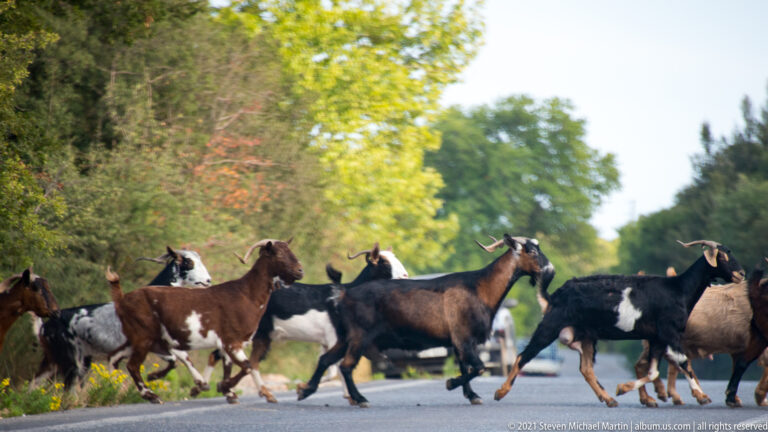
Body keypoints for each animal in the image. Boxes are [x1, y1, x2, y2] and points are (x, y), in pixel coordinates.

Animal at [32, 247, 212, 389]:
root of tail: (45, 327)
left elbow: (183, 357)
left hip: (58, 358)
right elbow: (174, 359)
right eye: (188, 262)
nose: (208, 280)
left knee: (36, 382)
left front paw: (201, 383)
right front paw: (152, 377)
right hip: (70, 359)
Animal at [107, 239, 303, 404]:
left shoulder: (231, 342)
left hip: (137, 338)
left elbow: (234, 366)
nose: (300, 271)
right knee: (132, 365)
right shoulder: (232, 340)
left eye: (290, 250)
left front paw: (229, 392)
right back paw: (151, 395)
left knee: (115, 358)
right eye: (278, 254)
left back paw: (117, 386)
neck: (246, 294)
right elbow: (247, 366)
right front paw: (223, 387)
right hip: (143, 336)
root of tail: (122, 299)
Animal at [201, 243, 408, 403]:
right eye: (383, 262)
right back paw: (218, 388)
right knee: (228, 355)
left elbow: (332, 368)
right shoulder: (333, 338)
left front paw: (347, 396)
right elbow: (333, 369)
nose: (405, 276)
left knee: (235, 358)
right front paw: (304, 387)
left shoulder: (327, 341)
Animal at [296, 234, 555, 407]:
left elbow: (466, 366)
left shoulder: (458, 341)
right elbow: (478, 367)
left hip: (345, 336)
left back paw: (305, 389)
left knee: (326, 359)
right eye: (531, 251)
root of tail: (344, 294)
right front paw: (451, 384)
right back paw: (360, 399)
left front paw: (472, 395)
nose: (550, 270)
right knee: (346, 366)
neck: (480, 287)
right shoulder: (464, 338)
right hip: (360, 336)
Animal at [493, 240, 745, 407]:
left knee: (586, 368)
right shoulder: (670, 333)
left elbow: (653, 370)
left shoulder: (656, 338)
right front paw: (702, 396)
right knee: (522, 356)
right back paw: (500, 392)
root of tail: (553, 296)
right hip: (550, 327)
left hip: (586, 337)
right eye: (722, 257)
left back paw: (609, 399)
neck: (679, 289)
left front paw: (623, 389)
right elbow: (683, 362)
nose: (741, 274)